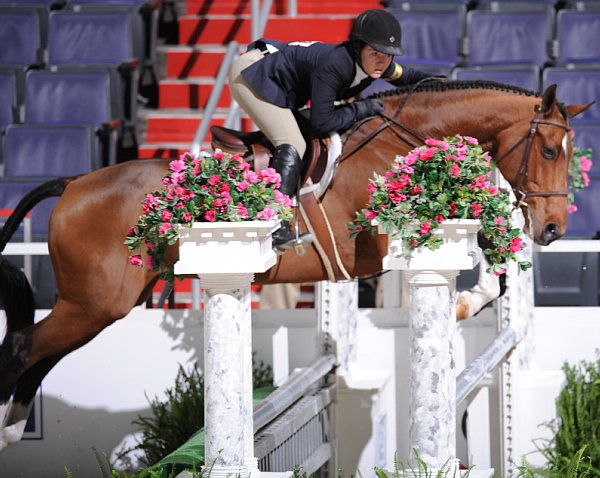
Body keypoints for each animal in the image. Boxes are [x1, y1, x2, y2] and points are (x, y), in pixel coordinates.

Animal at [0, 78, 592, 448]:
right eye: (547, 151)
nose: (552, 230)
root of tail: (73, 183)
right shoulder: (384, 234)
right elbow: (478, 252)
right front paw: (466, 304)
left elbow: (495, 265)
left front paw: (469, 303)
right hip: (95, 302)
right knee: (24, 347)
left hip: (98, 306)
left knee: (40, 356)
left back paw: (12, 427)